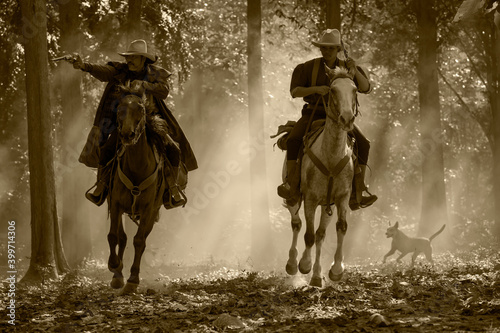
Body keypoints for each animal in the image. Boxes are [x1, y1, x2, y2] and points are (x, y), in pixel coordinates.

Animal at [106, 85, 167, 294]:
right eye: (119, 110)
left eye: (140, 109)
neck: (137, 168)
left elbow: (139, 241)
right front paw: (114, 267)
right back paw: (117, 274)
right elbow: (114, 236)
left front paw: (133, 279)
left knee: (142, 240)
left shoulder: (149, 209)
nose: (127, 134)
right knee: (122, 237)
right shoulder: (115, 204)